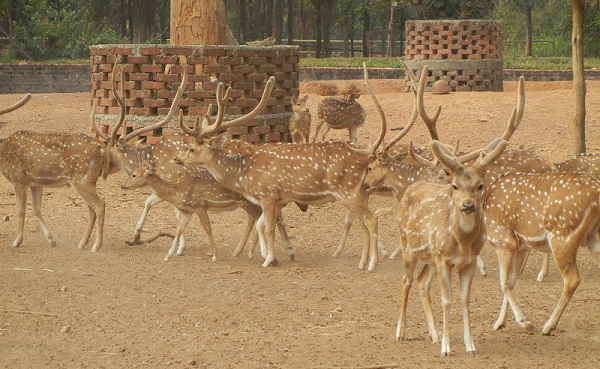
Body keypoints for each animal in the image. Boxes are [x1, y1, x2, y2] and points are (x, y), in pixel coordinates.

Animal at [178, 67, 394, 270]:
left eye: (191, 148)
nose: (178, 159)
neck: (242, 173)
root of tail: (365, 158)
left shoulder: (268, 195)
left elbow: (268, 227)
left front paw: (269, 259)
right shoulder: (273, 199)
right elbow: (261, 224)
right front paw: (267, 255)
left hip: (349, 193)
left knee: (372, 219)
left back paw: (372, 264)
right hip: (359, 192)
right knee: (364, 223)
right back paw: (363, 262)